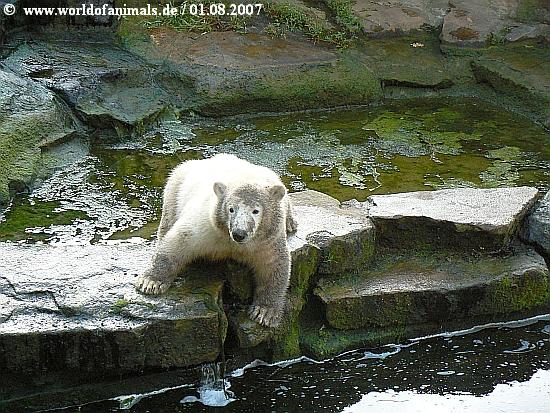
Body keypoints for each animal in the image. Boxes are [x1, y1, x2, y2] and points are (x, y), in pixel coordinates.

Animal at [135, 153, 298, 327]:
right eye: (231, 209)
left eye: (255, 211)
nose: (239, 233)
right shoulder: (206, 225)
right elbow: (178, 241)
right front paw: (150, 282)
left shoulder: (267, 239)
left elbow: (273, 265)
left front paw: (264, 312)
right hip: (176, 185)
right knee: (168, 218)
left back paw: (290, 222)